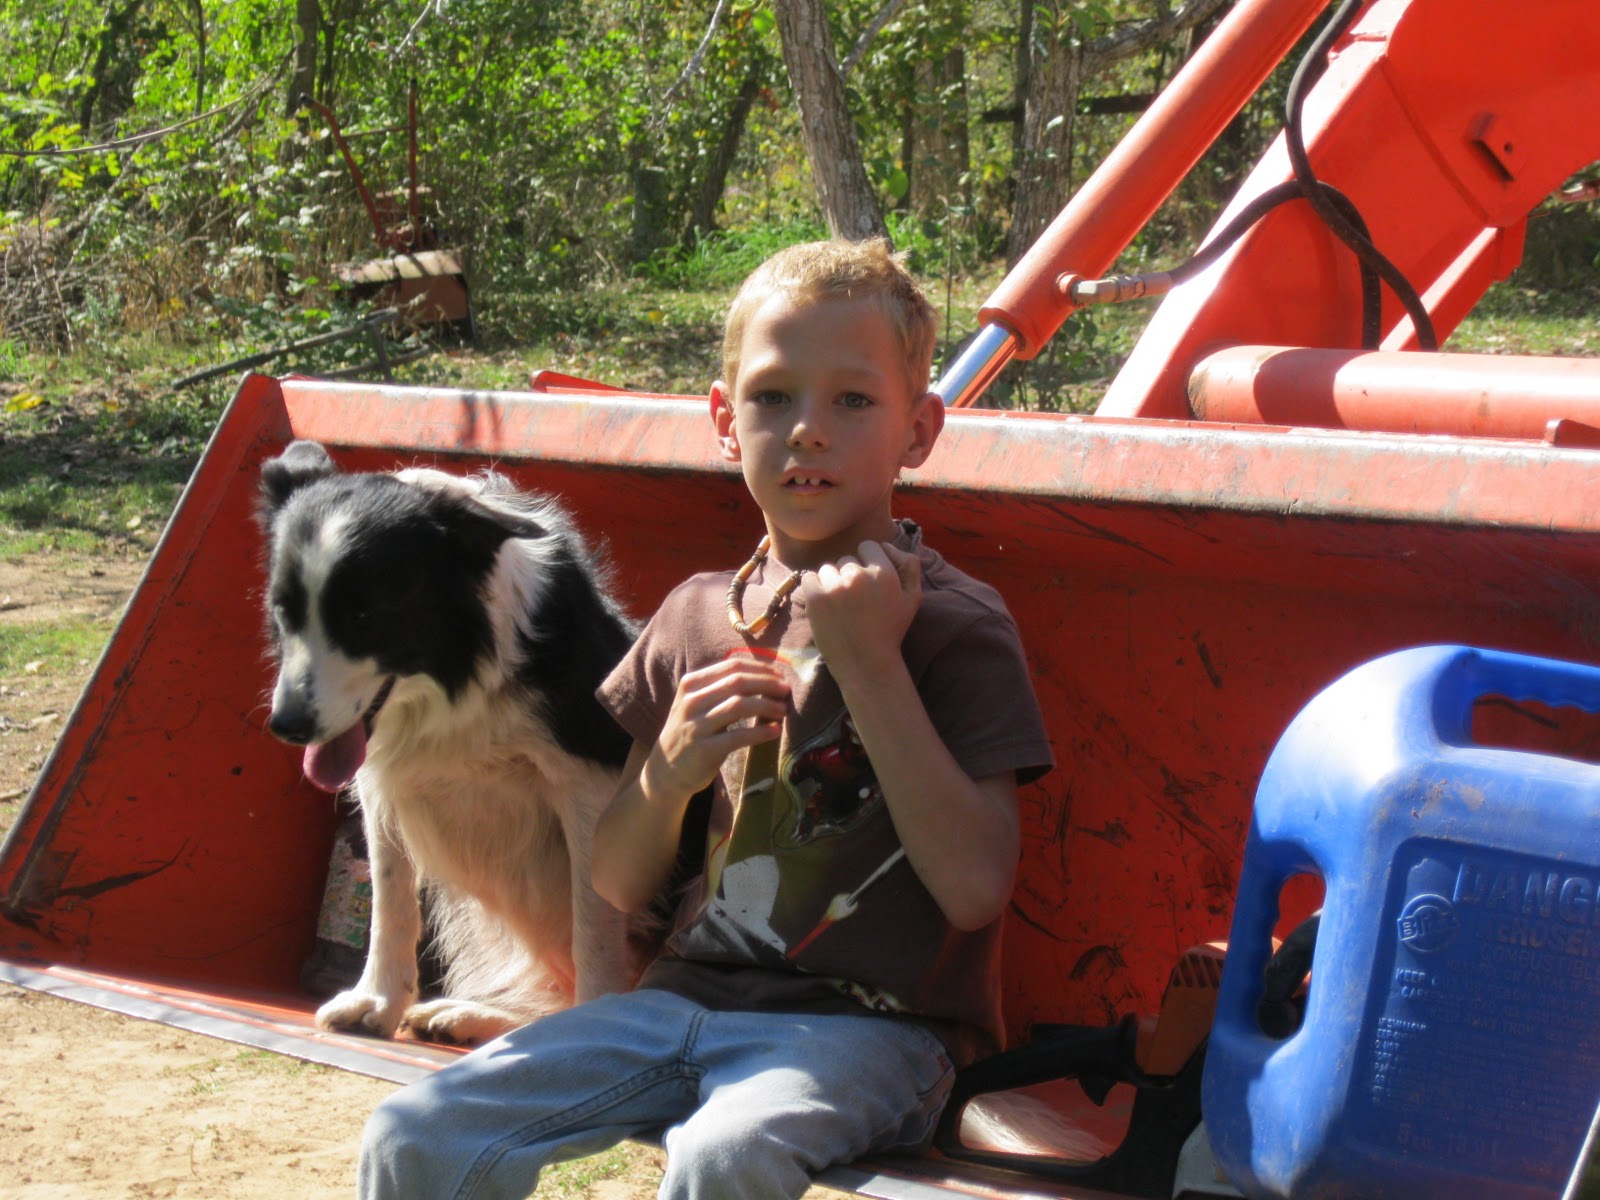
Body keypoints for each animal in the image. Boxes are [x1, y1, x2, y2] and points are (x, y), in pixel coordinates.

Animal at [258, 440, 642, 1045]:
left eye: (363, 615)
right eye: (283, 609)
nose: (288, 725)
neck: (457, 679)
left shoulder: (590, 782)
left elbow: (595, 927)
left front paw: (594, 1025)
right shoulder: (382, 781)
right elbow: (390, 900)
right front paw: (379, 1001)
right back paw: (471, 1016)